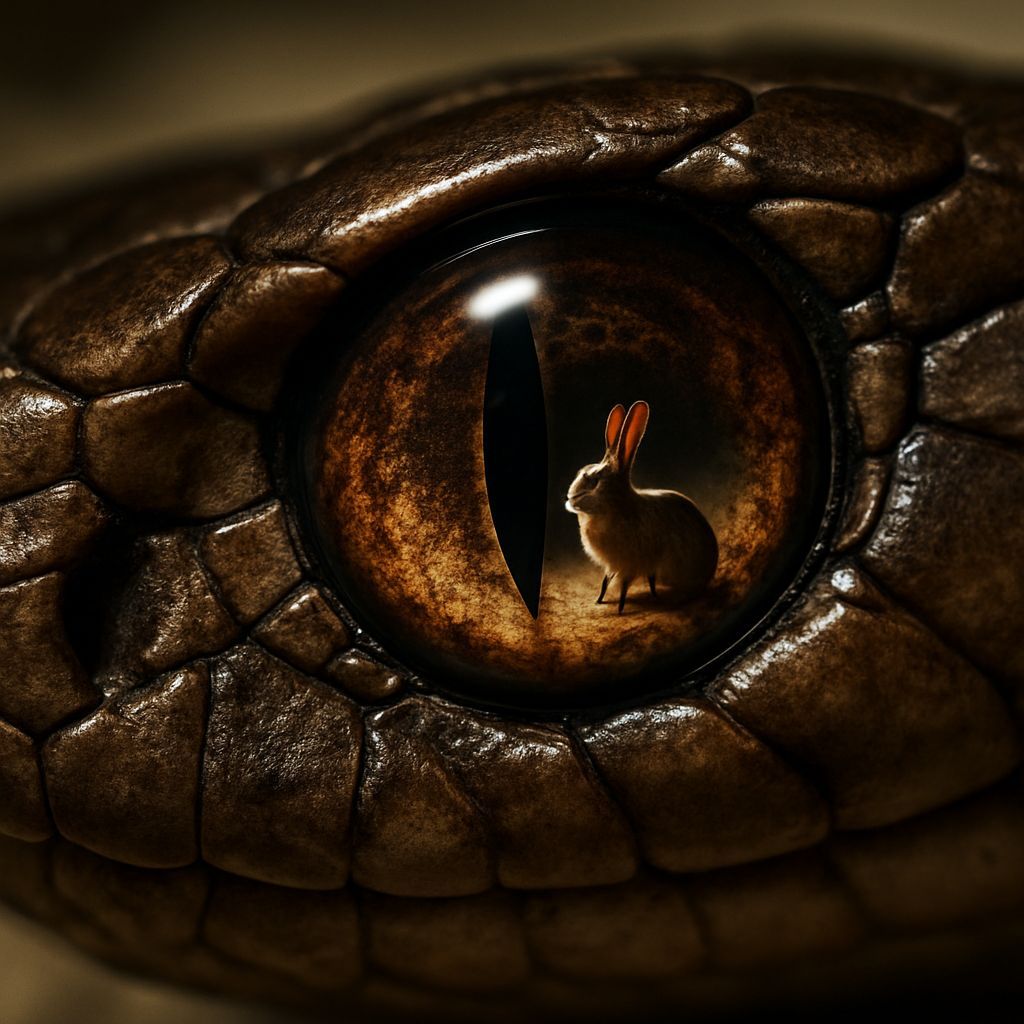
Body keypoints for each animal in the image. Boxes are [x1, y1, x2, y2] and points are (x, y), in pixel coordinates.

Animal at [565, 400, 718, 613]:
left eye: (595, 481)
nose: (569, 498)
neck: (617, 506)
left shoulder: (629, 567)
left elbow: (623, 588)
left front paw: (620, 610)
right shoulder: (614, 566)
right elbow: (605, 583)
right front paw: (599, 601)